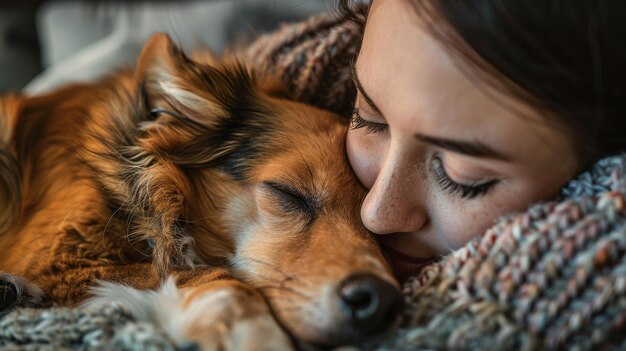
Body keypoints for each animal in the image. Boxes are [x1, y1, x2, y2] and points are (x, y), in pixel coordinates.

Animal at [0, 33, 400, 350]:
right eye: (288, 193)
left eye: (383, 231)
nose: (379, 301)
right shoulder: (61, 263)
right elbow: (217, 276)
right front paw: (254, 333)